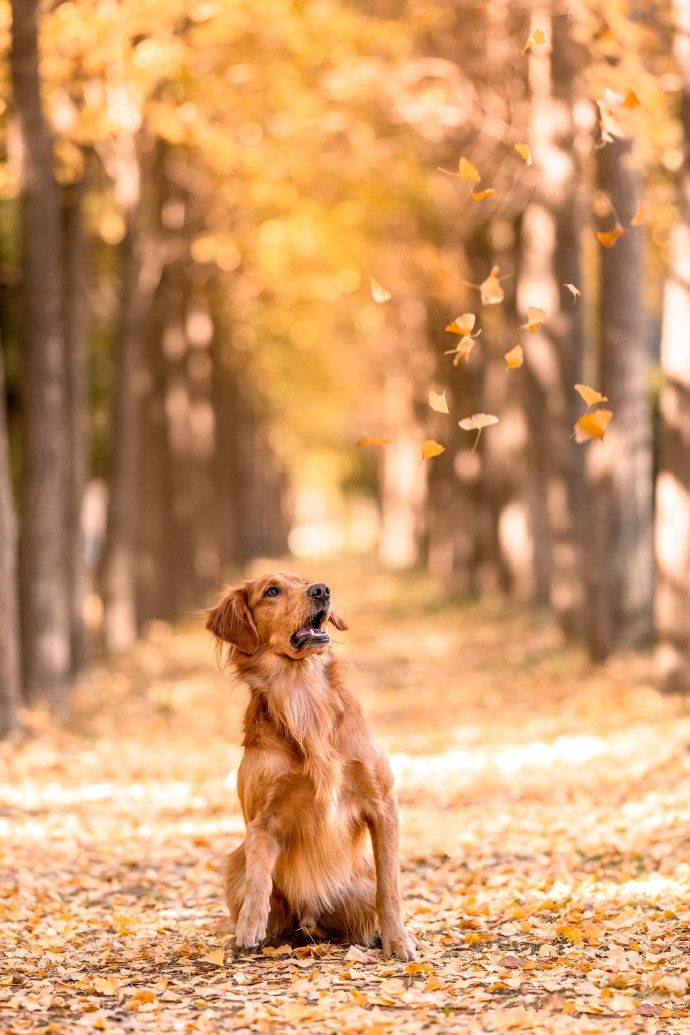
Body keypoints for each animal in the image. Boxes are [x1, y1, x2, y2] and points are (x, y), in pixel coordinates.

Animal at [204, 571, 415, 956]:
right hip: (234, 862)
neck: (302, 693)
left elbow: (389, 886)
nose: (322, 590)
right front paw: (249, 925)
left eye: (305, 581)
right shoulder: (263, 816)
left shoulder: (383, 803)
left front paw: (397, 939)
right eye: (271, 591)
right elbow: (259, 870)